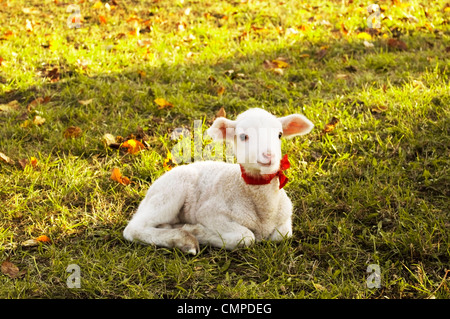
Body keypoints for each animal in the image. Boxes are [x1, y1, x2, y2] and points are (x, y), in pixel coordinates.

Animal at [121, 107, 314, 255]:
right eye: (243, 136)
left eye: (279, 135)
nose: (269, 156)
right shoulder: (210, 213)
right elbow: (245, 237)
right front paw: (195, 231)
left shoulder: (285, 219)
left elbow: (282, 235)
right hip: (169, 193)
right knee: (133, 229)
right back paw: (184, 240)